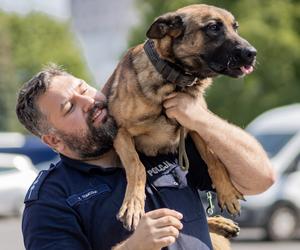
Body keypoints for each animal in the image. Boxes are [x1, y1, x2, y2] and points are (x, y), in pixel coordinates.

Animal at [105, 2, 255, 247]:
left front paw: (227, 192)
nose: (252, 53)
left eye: (235, 27)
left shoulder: (197, 125)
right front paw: (133, 204)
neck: (173, 81)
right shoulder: (120, 131)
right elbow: (136, 166)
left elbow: (213, 159)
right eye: (213, 27)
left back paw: (220, 223)